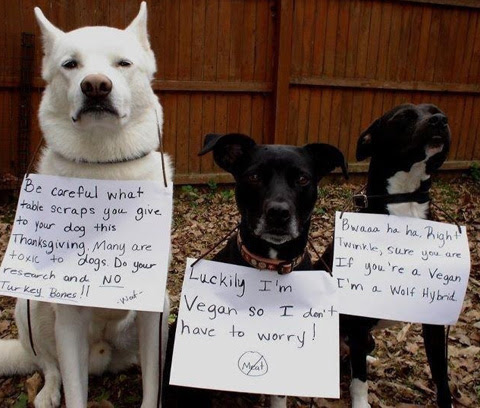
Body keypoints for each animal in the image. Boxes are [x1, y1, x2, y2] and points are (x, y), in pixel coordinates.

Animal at [0, 3, 170, 408]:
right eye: (70, 64)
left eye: (123, 63)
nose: (95, 85)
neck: (102, 170)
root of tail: (103, 359)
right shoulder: (69, 315)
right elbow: (74, 389)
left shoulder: (152, 309)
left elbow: (152, 384)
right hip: (28, 308)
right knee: (50, 366)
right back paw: (47, 391)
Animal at [318, 103, 452, 408]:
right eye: (403, 117)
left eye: (436, 111)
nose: (441, 120)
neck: (405, 203)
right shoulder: (357, 320)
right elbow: (359, 382)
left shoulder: (435, 322)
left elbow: (441, 373)